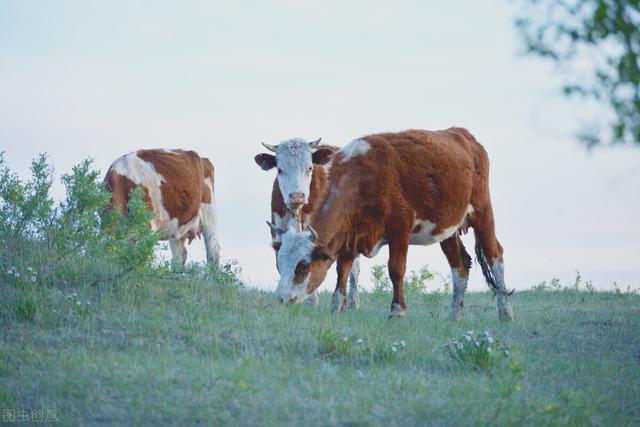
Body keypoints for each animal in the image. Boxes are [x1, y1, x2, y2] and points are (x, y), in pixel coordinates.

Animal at [270, 129, 516, 322]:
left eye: (303, 266)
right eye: (279, 263)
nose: (281, 298)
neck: (362, 177)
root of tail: (464, 136)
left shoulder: (399, 230)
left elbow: (396, 269)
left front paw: (397, 310)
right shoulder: (351, 234)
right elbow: (343, 270)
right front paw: (337, 306)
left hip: (483, 213)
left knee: (495, 256)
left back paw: (506, 312)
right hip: (448, 230)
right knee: (460, 265)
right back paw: (454, 314)